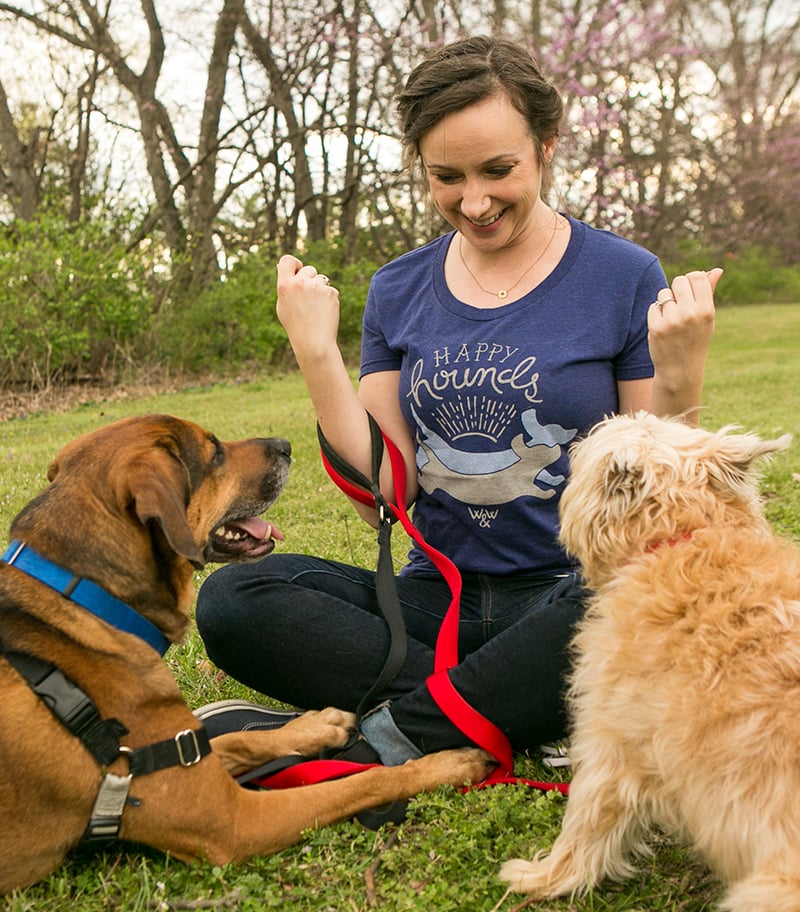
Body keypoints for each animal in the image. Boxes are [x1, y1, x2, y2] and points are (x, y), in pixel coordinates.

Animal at [0, 416, 490, 896]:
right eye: (214, 452)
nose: (286, 444)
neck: (86, 600)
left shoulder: (196, 753)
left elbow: (239, 740)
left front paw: (316, 727)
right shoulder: (233, 821)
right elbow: (364, 780)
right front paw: (446, 764)